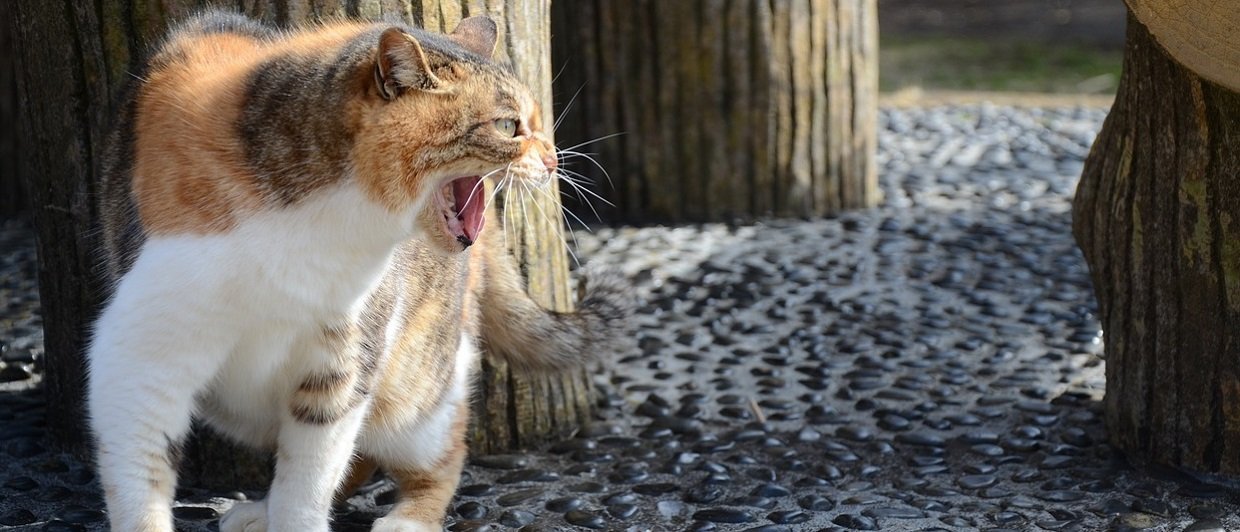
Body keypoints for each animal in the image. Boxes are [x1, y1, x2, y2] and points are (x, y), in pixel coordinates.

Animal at [89, 9, 629, 530]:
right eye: (508, 126)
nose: (554, 161)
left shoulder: (342, 359)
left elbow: (308, 481)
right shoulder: (142, 357)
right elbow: (141, 473)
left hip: (415, 388)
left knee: (438, 451)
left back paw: (407, 520)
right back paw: (263, 509)